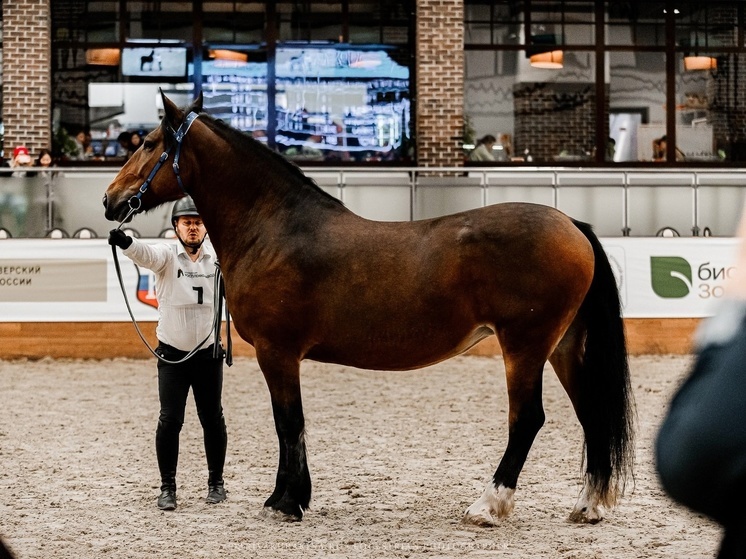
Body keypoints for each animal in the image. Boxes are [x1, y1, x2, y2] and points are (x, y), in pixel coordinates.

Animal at [101, 92, 632, 524]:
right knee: (590, 413)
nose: (110, 200)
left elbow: (287, 423)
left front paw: (286, 502)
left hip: (524, 347)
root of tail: (572, 224)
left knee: (527, 419)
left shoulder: (278, 352)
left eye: (150, 143)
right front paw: (289, 498)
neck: (274, 228)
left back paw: (489, 505)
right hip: (563, 346)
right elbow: (290, 425)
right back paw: (587, 505)